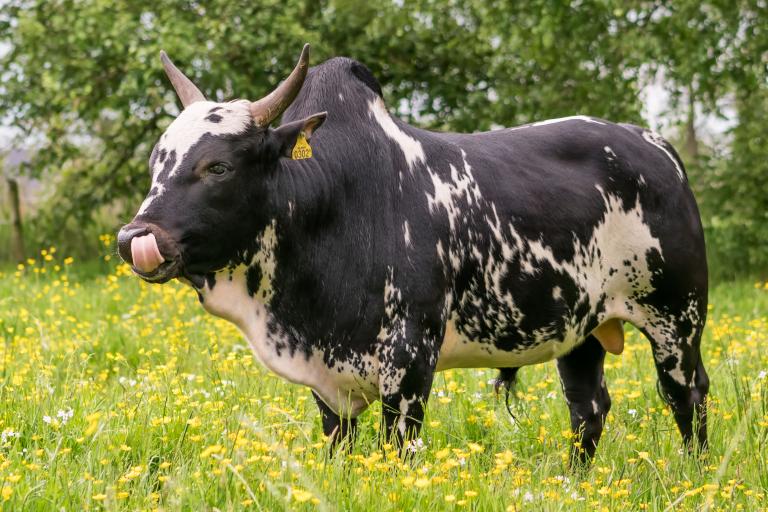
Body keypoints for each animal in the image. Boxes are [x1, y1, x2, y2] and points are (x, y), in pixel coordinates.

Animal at [117, 43, 712, 460]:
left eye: (217, 166)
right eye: (155, 162)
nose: (133, 238)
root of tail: (658, 147)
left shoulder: (409, 360)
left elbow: (398, 448)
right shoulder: (328, 383)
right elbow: (339, 444)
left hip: (676, 320)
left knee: (687, 396)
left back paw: (693, 476)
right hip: (581, 331)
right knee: (588, 408)